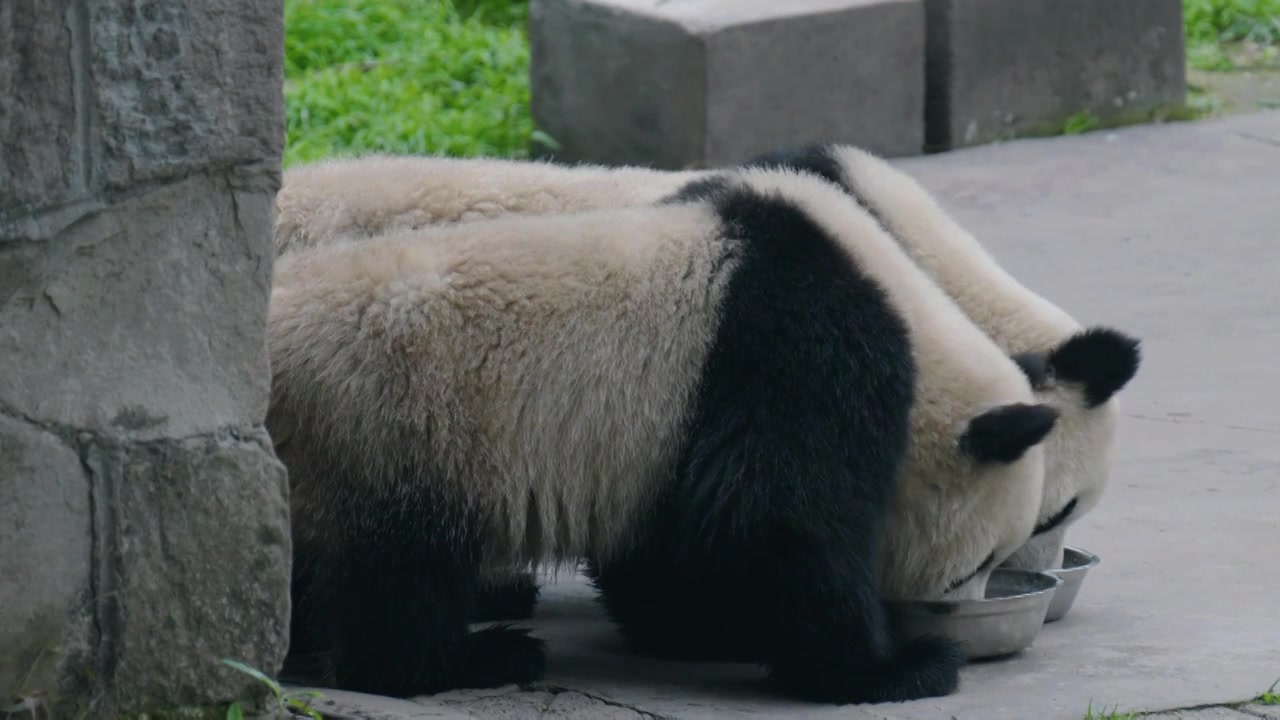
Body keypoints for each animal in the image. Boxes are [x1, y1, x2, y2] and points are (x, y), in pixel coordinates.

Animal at [264, 166, 1054, 702]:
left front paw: (691, 629)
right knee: (398, 573)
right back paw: (479, 658)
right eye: (977, 562)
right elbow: (777, 523)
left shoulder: (676, 432)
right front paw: (895, 665)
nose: (970, 608)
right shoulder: (792, 354)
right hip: (396, 423)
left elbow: (687, 541)